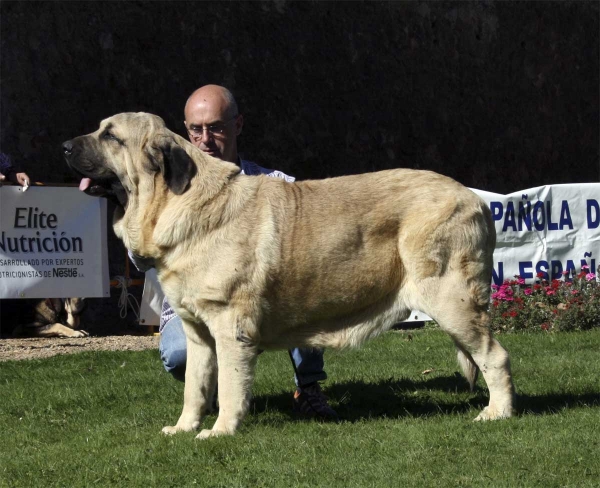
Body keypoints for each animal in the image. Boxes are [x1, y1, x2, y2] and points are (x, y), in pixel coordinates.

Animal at [64, 112, 516, 440]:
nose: (65, 145)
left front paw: (219, 432)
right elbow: (195, 385)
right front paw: (184, 427)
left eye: (110, 136)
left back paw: (497, 413)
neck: (176, 198)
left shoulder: (229, 325)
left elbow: (230, 385)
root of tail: (474, 198)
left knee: (494, 356)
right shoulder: (198, 332)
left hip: (451, 299)